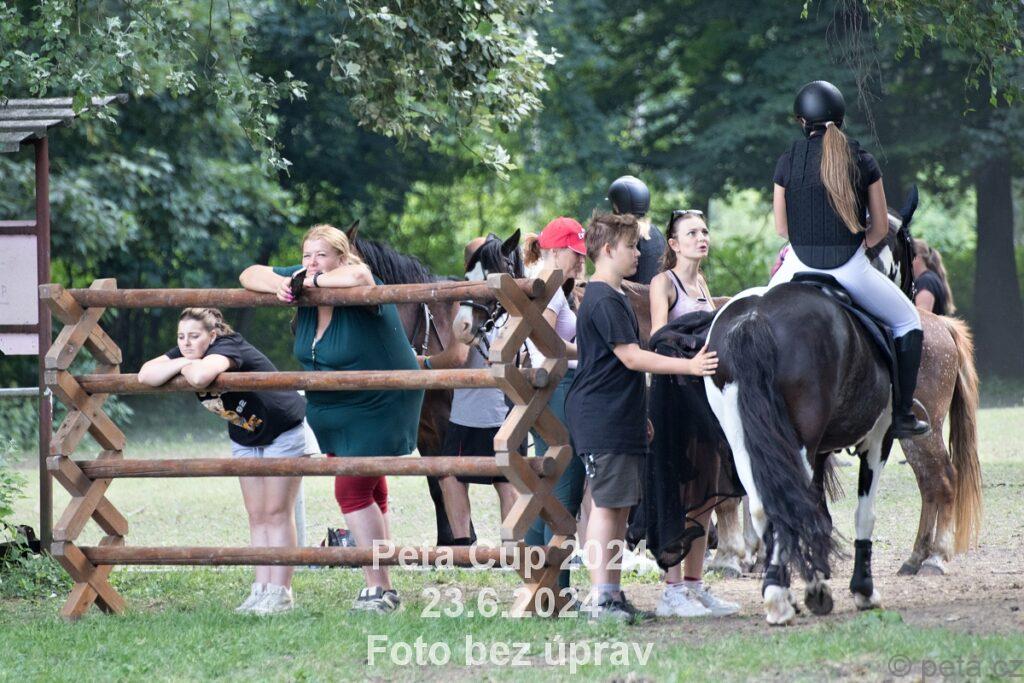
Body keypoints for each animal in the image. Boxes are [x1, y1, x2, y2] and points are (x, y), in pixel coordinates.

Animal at [699, 195, 981, 625]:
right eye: (908, 245)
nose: (912, 289)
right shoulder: (877, 441)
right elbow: (861, 514)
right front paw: (857, 589)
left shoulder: (819, 449)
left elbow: (817, 511)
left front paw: (816, 579)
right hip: (895, 434)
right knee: (937, 482)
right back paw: (924, 558)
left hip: (746, 439)